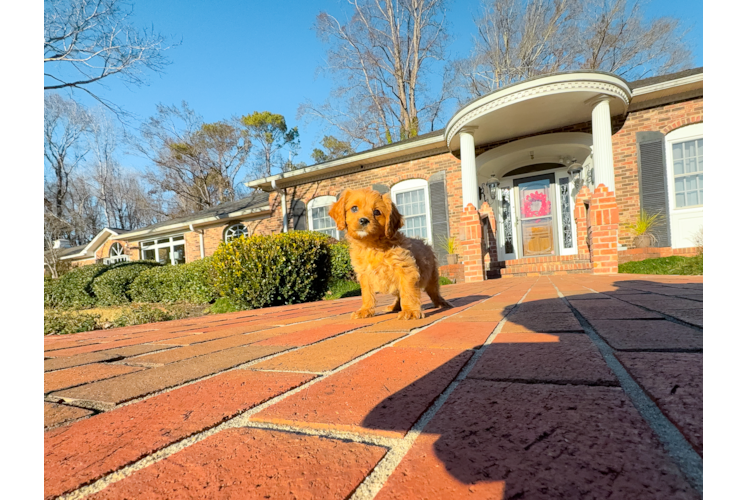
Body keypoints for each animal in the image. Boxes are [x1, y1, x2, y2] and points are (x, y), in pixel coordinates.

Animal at [330, 188, 452, 320]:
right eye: (354, 208)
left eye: (377, 212)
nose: (363, 220)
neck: (371, 246)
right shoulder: (365, 275)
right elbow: (367, 294)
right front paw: (365, 310)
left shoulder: (406, 269)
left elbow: (408, 292)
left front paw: (410, 311)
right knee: (399, 295)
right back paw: (395, 307)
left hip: (431, 277)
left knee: (434, 292)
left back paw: (441, 303)